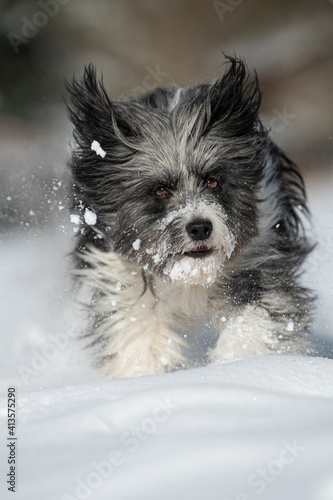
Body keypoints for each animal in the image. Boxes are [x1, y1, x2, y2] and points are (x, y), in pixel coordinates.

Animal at [65, 56, 314, 376]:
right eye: (160, 190)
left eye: (212, 181)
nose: (199, 228)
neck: (191, 277)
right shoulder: (122, 279)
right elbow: (139, 338)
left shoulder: (261, 258)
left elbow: (256, 318)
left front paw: (239, 366)